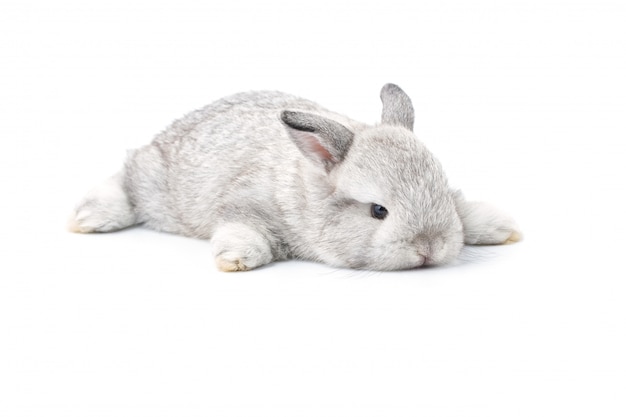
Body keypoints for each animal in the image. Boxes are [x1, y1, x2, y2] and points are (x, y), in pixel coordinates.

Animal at [68, 83, 520, 272]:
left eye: (441, 192)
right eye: (378, 211)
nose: (428, 248)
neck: (310, 190)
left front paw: (502, 227)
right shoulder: (244, 203)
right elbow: (242, 229)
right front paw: (234, 259)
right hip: (153, 183)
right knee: (124, 178)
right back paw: (89, 218)